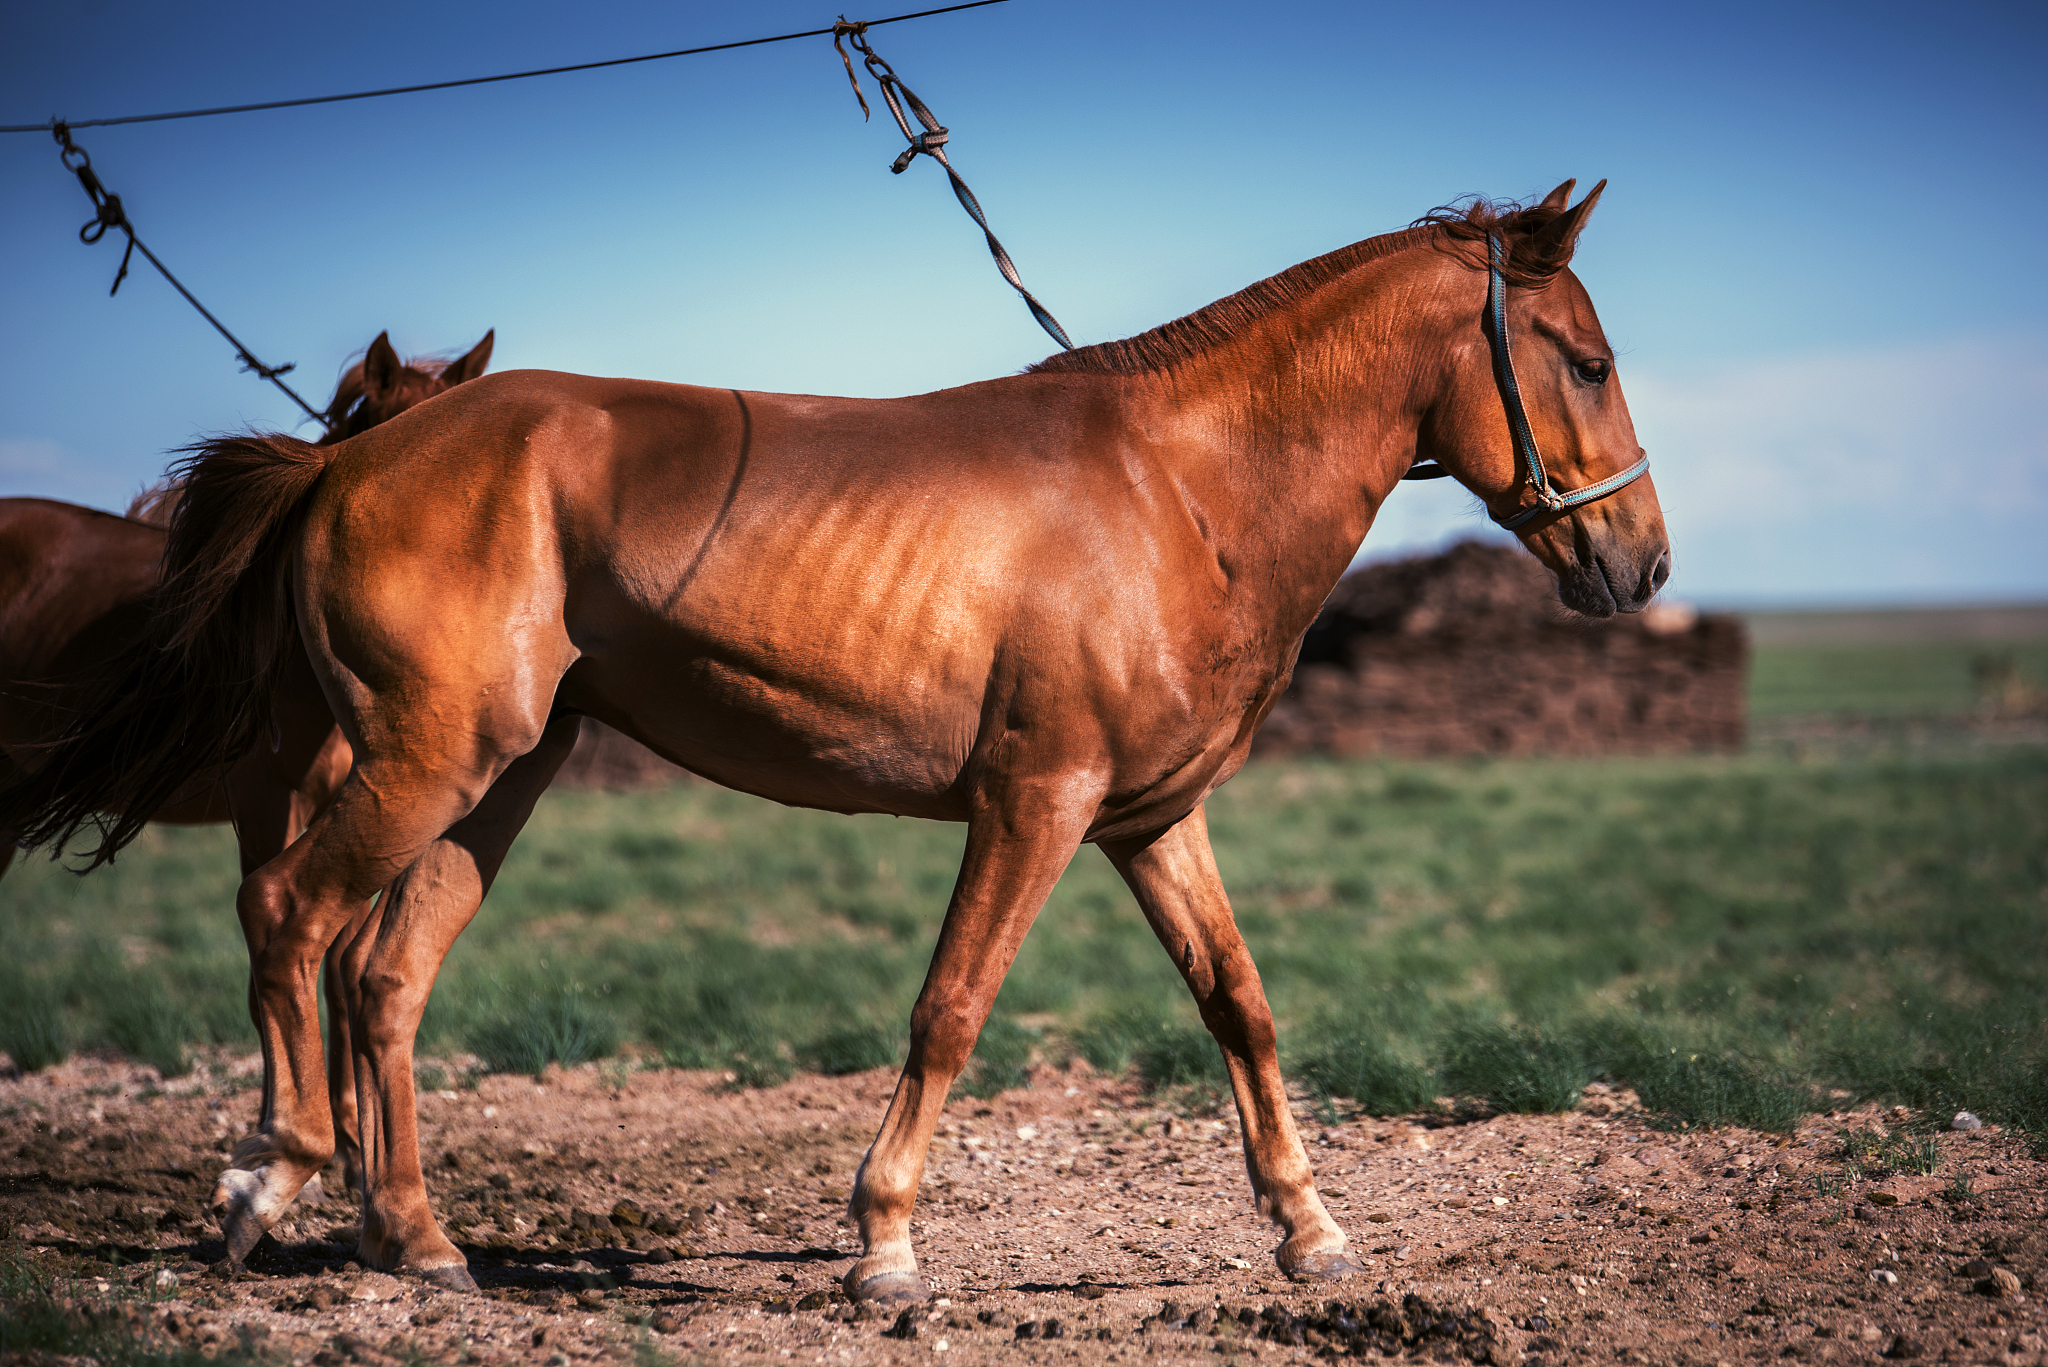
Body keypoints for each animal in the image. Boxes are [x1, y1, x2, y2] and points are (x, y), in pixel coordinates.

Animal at [0, 329, 492, 1186]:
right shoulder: (266, 803)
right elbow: (279, 946)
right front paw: (287, 1134)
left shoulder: (355, 803)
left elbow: (340, 956)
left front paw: (353, 1142)